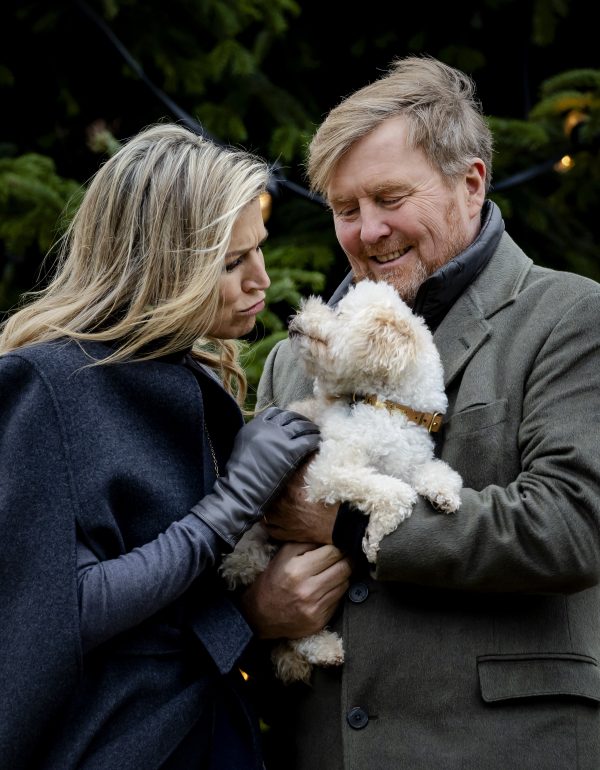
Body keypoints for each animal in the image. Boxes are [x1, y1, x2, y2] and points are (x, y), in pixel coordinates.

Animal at [220, 280, 464, 680]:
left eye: (340, 313)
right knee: (290, 620)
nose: (298, 312)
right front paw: (374, 540)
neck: (387, 406)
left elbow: (436, 472)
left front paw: (443, 494)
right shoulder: (329, 472)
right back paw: (322, 647)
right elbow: (394, 492)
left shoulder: (412, 460)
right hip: (253, 555)